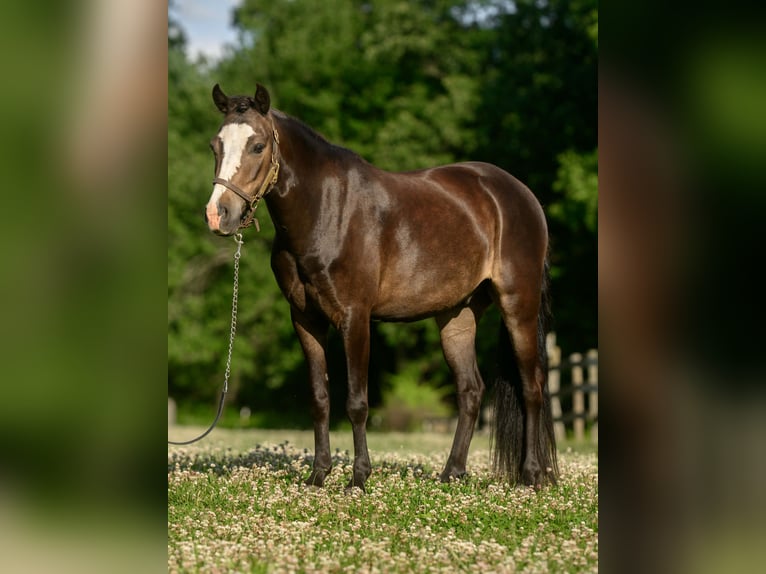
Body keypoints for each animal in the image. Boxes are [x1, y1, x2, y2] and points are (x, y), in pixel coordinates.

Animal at [204, 84, 558, 490]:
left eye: (258, 145)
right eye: (215, 145)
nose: (218, 215)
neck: (326, 209)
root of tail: (521, 195)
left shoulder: (355, 318)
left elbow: (357, 402)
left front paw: (358, 478)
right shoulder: (306, 320)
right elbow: (320, 398)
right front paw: (318, 475)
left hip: (519, 306)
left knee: (532, 387)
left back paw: (531, 476)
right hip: (457, 315)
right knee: (471, 390)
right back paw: (452, 473)